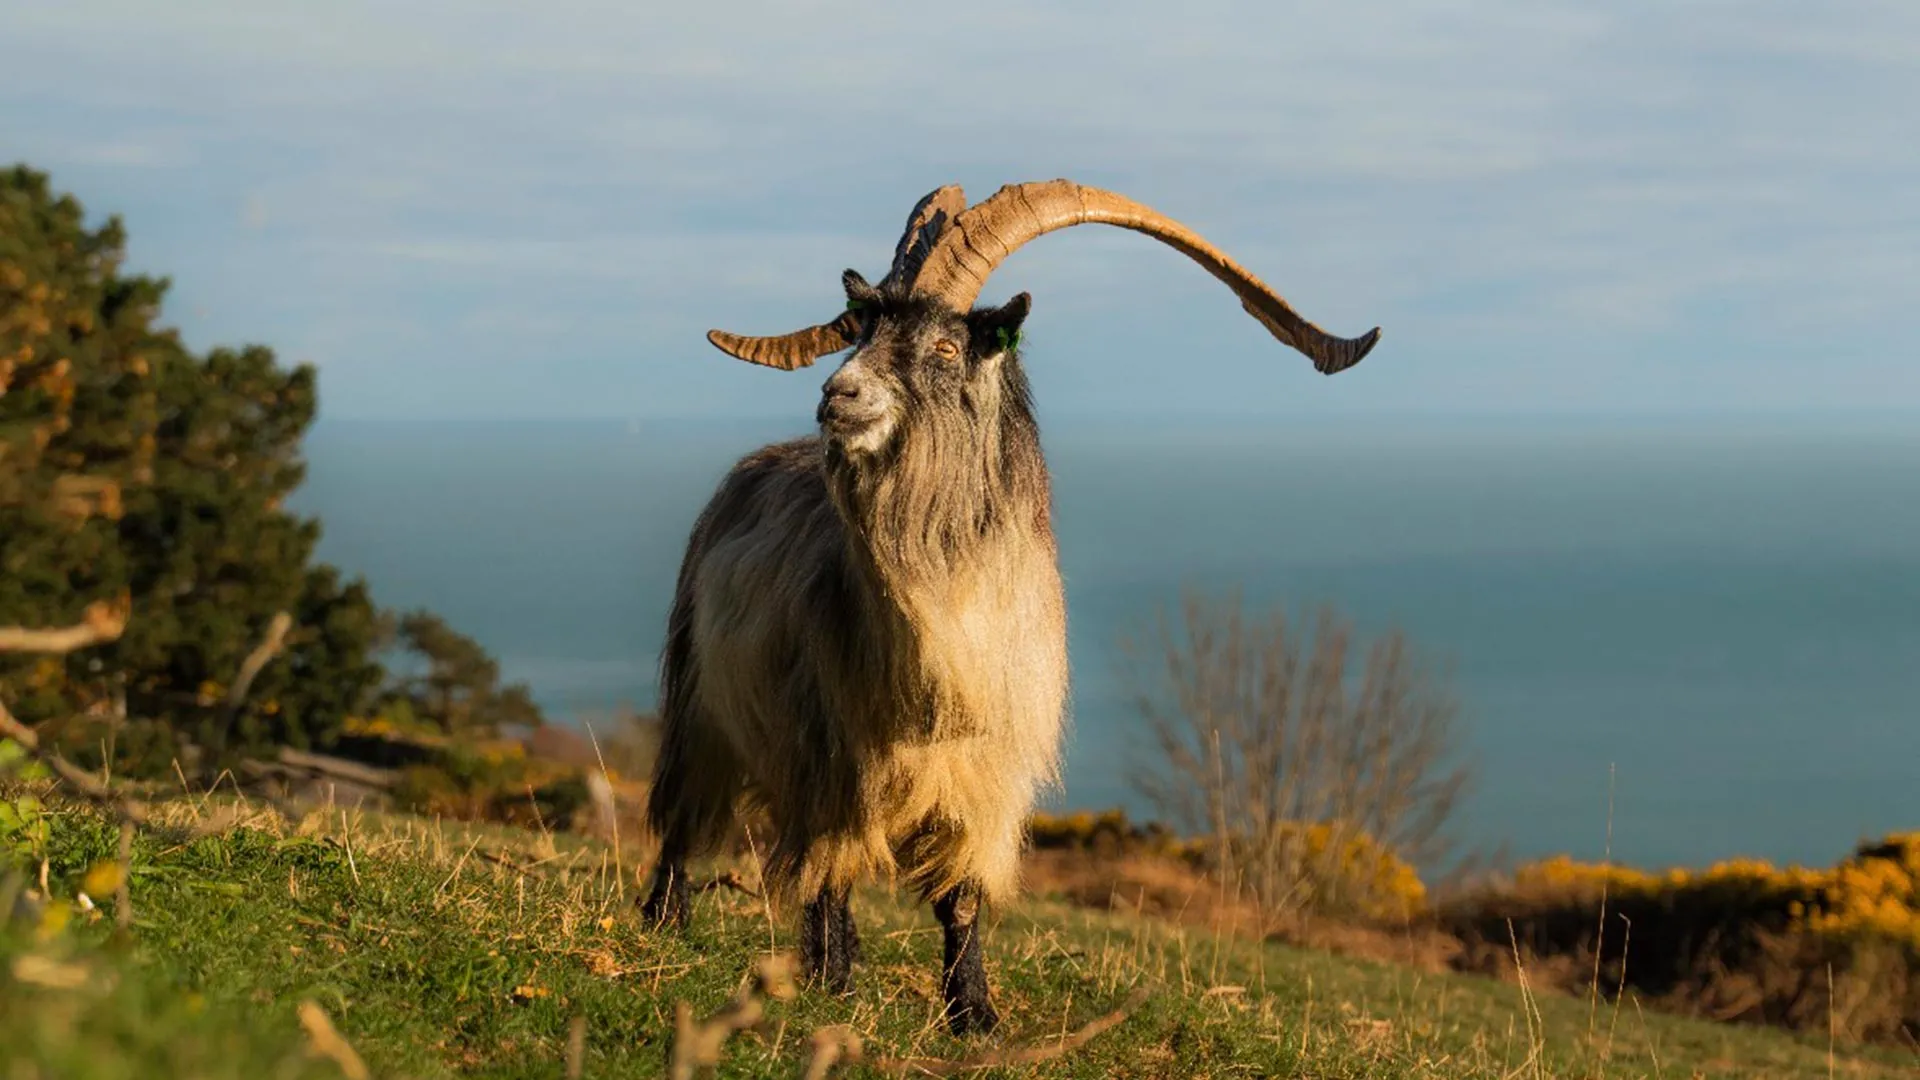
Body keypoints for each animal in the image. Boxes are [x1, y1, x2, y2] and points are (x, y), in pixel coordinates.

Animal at [640, 179, 1380, 1034]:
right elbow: (831, 871)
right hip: (699, 704)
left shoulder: (987, 775)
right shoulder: (832, 754)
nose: (837, 395)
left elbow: (961, 898)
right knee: (687, 817)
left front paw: (974, 1014)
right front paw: (834, 986)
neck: (944, 626)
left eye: (946, 348)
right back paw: (669, 921)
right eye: (864, 333)